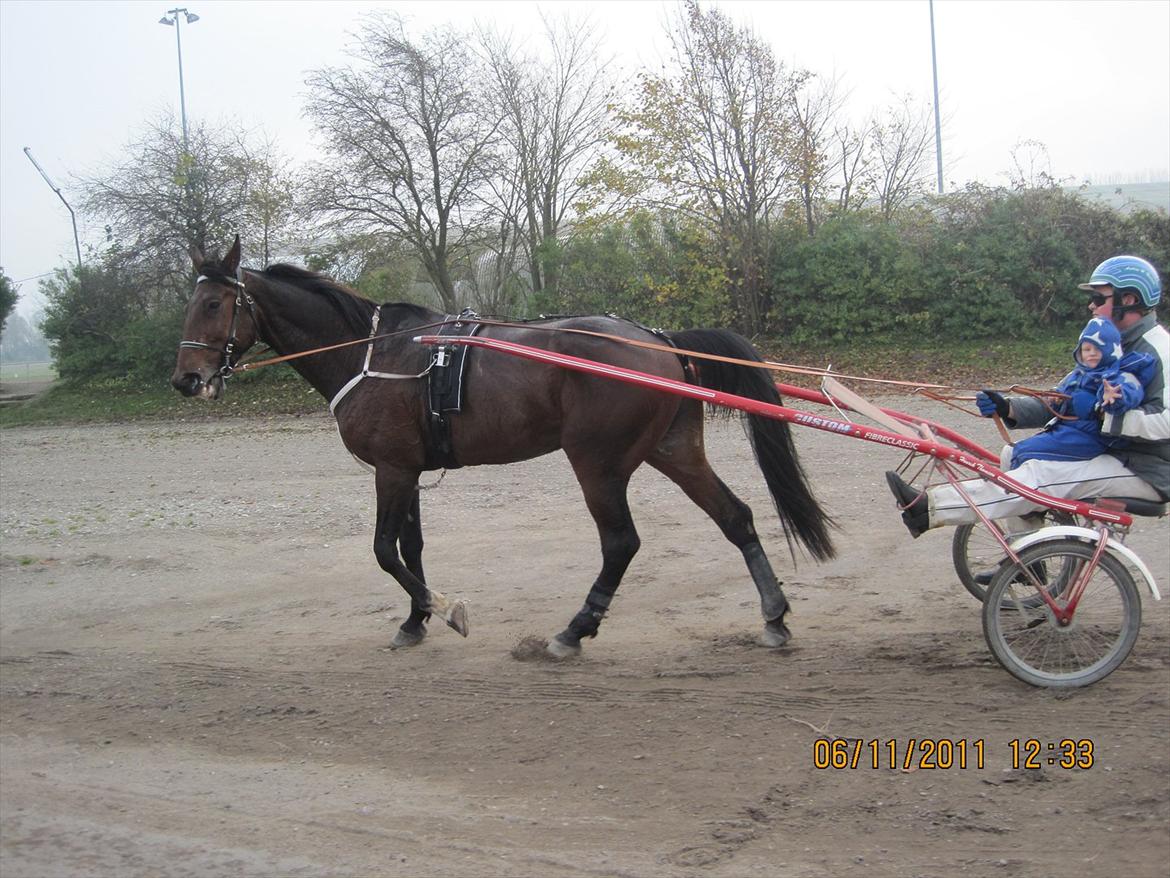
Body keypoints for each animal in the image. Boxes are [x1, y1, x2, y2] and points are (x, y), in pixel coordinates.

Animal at [171, 236, 835, 656]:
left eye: (214, 302)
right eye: (191, 302)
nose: (185, 380)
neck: (376, 353)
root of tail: (660, 339)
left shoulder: (390, 468)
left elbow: (385, 550)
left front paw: (443, 609)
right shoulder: (408, 468)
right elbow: (411, 547)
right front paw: (415, 621)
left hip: (597, 462)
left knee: (621, 543)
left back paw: (572, 632)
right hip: (673, 451)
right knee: (735, 517)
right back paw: (773, 616)